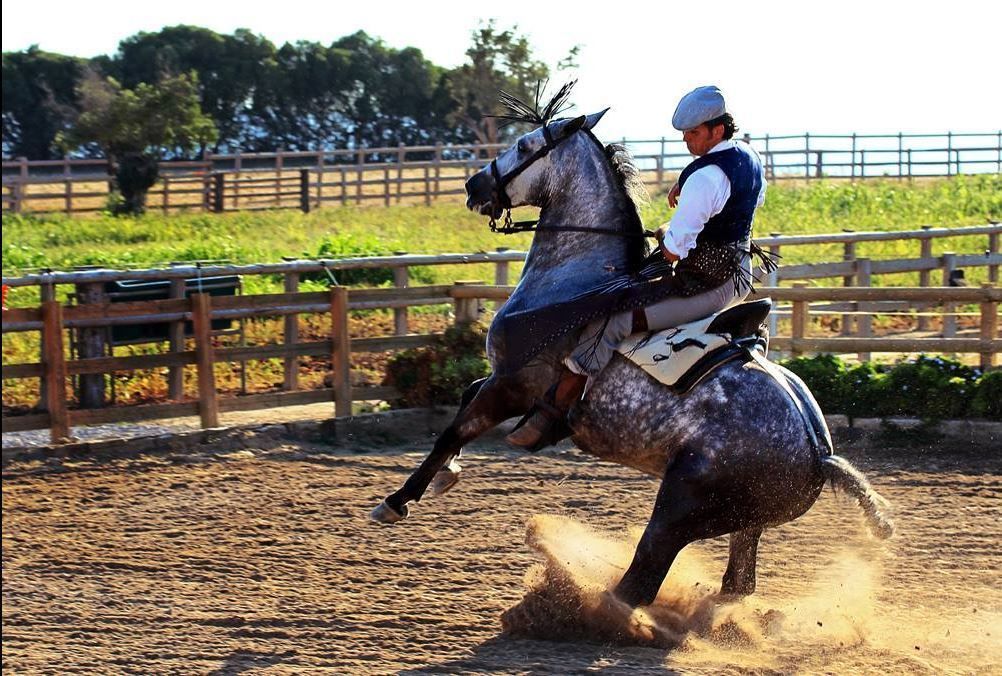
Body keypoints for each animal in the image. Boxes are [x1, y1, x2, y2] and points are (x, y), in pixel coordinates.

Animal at [370, 107, 892, 608]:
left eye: (524, 146)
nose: (473, 184)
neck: (574, 279)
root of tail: (820, 454)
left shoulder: (512, 384)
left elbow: (454, 430)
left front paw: (398, 501)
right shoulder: (501, 382)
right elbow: (462, 406)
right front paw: (446, 476)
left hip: (680, 507)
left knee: (644, 575)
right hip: (745, 521)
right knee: (736, 582)